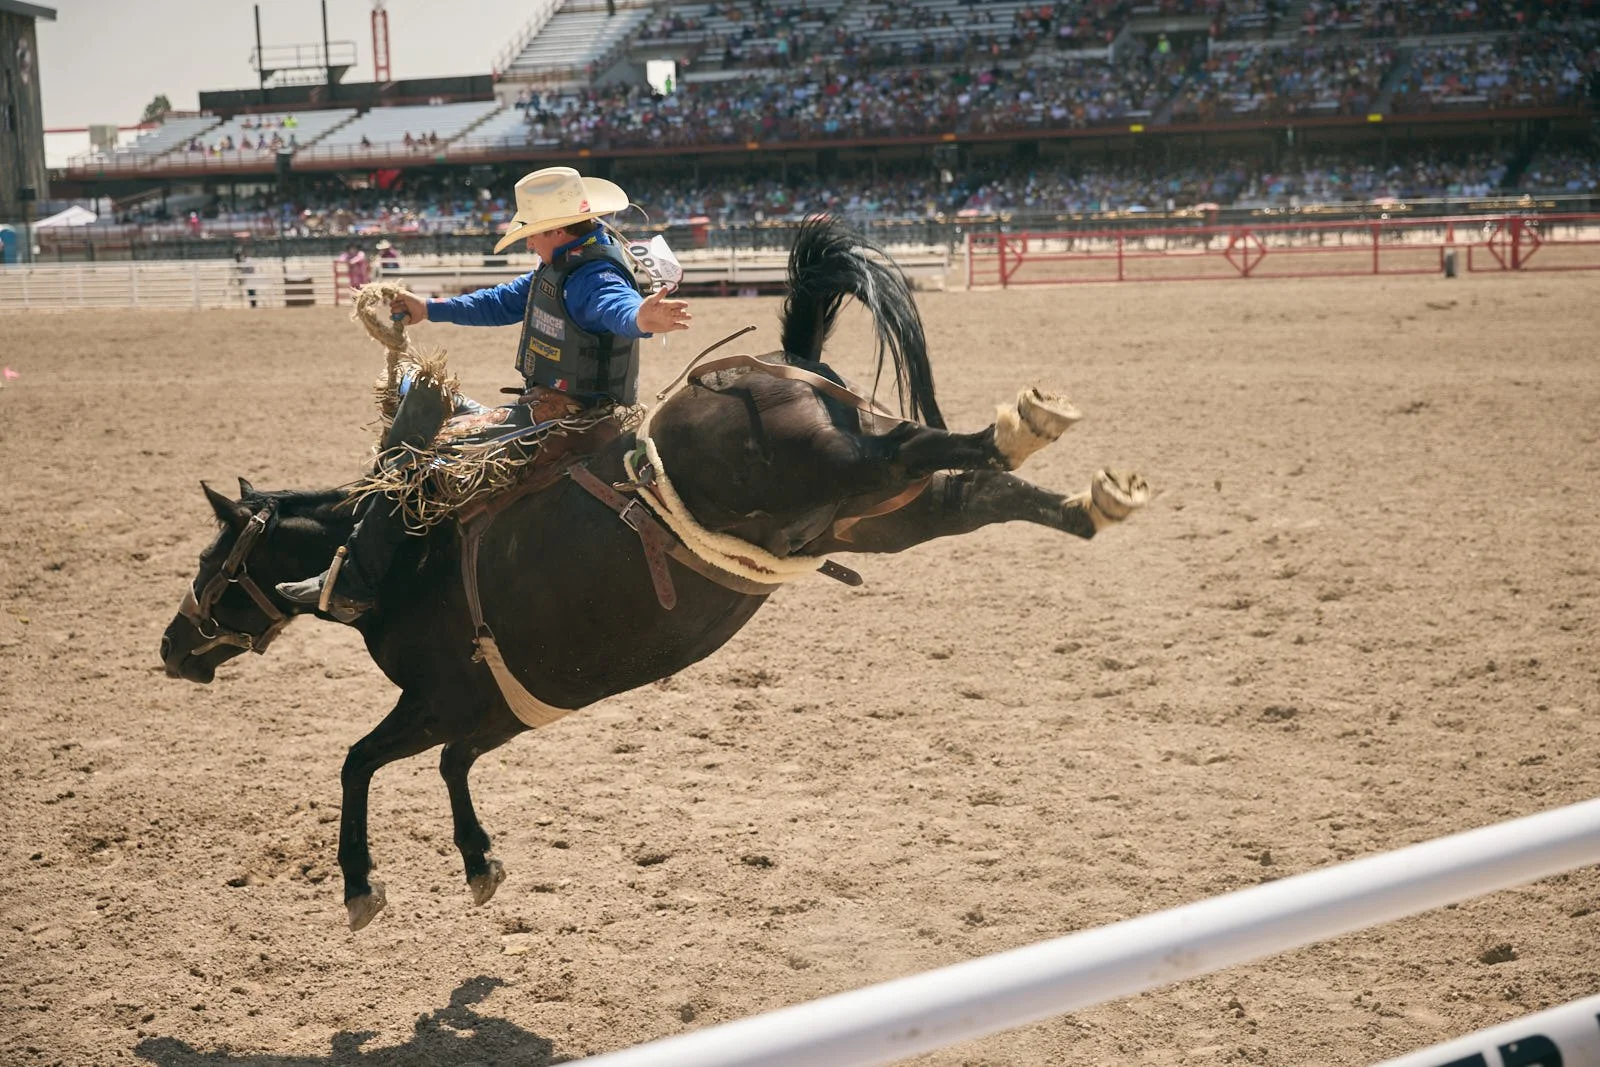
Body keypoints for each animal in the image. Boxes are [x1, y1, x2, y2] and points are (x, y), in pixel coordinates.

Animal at [160, 217, 1149, 931]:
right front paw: (480, 862)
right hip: (880, 515)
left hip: (836, 468)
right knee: (963, 486)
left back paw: (1026, 422)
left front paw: (361, 885)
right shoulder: (496, 708)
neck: (403, 549)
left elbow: (358, 760)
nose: (172, 647)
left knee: (924, 443)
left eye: (211, 561)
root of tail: (787, 361)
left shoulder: (438, 694)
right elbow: (448, 767)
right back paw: (1092, 500)